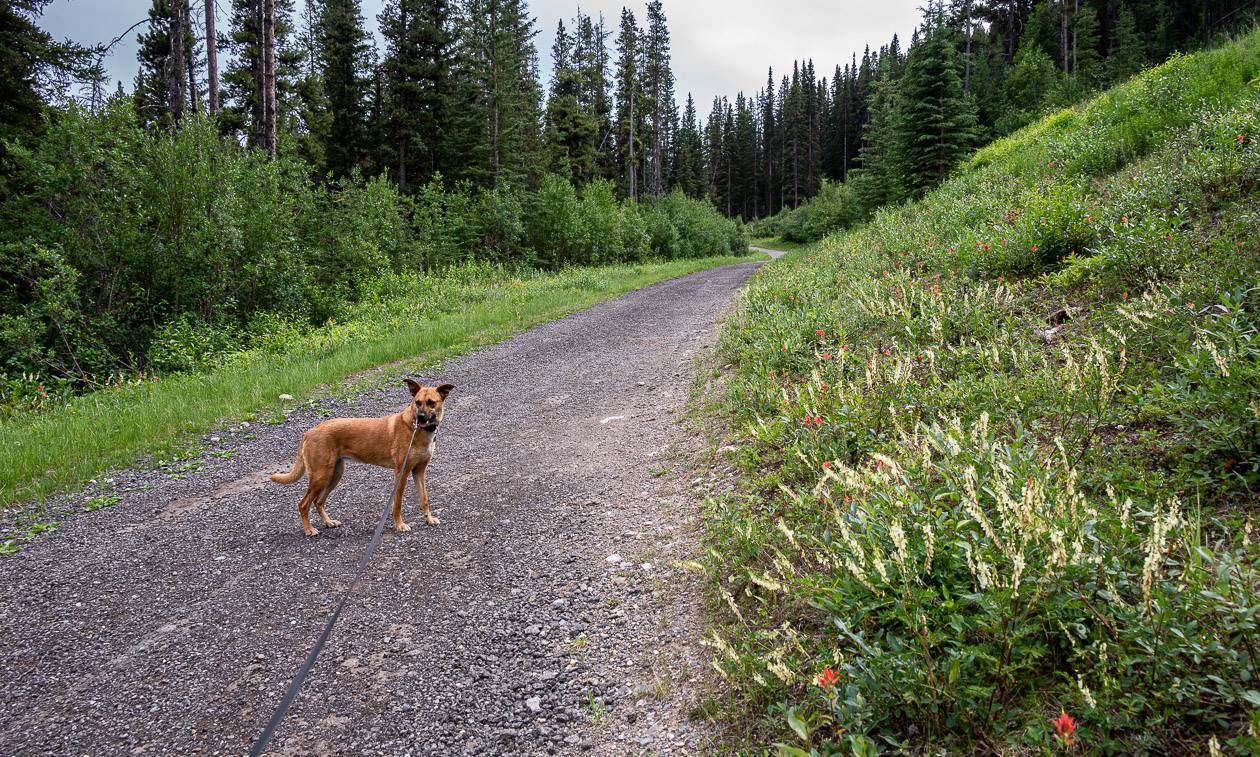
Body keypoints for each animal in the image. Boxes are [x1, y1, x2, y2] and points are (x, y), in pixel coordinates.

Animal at [268, 380, 456, 534]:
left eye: (431, 403)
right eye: (417, 403)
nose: (420, 417)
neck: (418, 430)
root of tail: (309, 432)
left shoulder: (419, 471)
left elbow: (424, 498)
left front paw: (429, 519)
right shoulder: (401, 473)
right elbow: (397, 503)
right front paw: (399, 525)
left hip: (335, 474)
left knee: (318, 502)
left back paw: (329, 522)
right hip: (321, 476)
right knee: (303, 503)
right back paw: (309, 530)